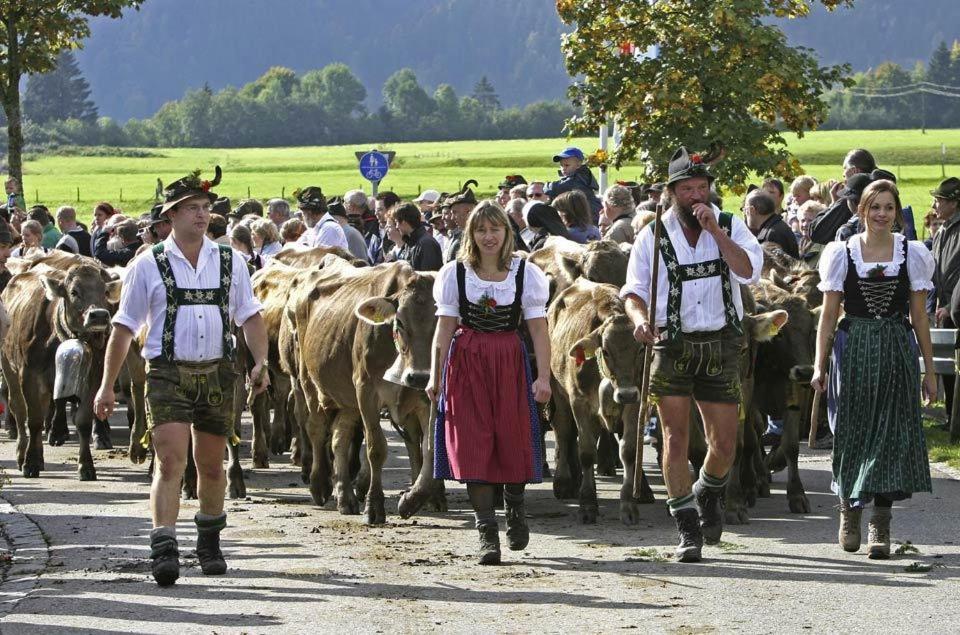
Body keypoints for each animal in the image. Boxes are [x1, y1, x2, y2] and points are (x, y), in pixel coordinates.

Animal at [1, 266, 120, 480]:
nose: (99, 315)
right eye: (74, 292)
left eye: (105, 291)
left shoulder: (95, 377)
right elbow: (34, 420)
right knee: (19, 411)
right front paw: (30, 463)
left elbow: (83, 421)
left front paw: (86, 466)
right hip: (9, 368)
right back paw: (22, 454)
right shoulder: (29, 375)